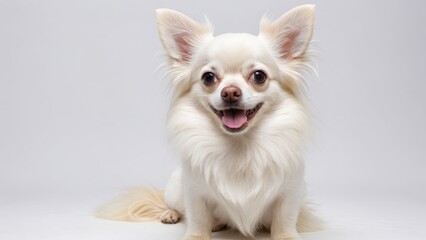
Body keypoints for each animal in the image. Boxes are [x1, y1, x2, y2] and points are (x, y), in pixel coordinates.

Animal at [96, 4, 322, 240]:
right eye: (208, 78)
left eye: (259, 76)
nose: (230, 92)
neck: (239, 145)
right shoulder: (194, 190)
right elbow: (197, 217)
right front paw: (197, 235)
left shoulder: (291, 190)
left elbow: (285, 218)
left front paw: (287, 235)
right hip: (175, 187)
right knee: (175, 205)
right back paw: (172, 214)